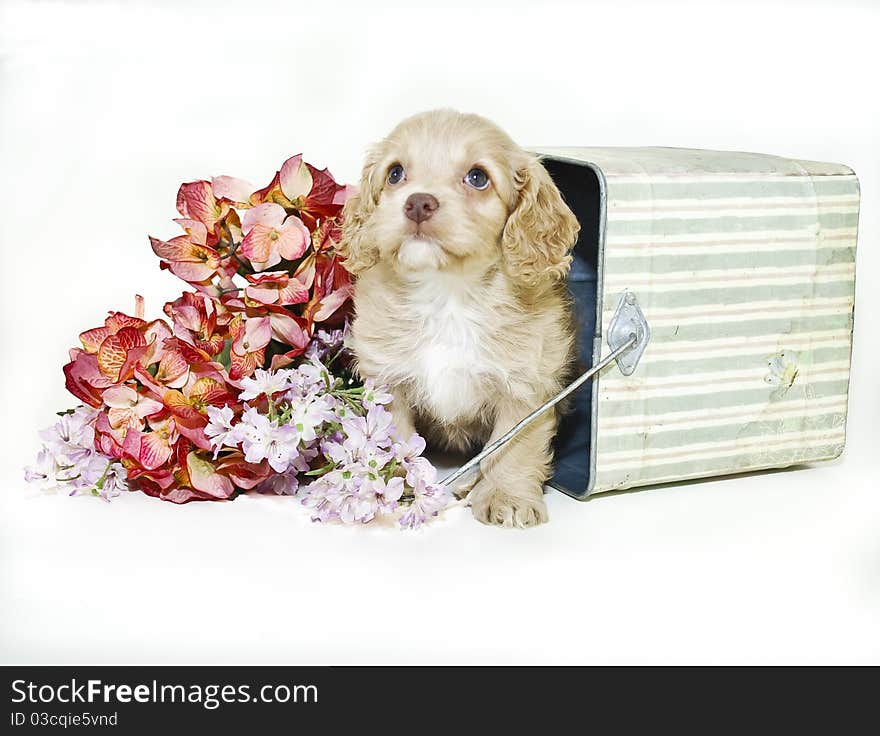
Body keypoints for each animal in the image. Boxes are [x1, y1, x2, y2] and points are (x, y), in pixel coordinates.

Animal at [340, 109, 580, 528]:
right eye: (395, 173)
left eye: (478, 177)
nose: (418, 203)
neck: (448, 295)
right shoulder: (388, 381)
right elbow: (396, 440)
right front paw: (395, 485)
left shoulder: (527, 387)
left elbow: (514, 446)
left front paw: (507, 497)